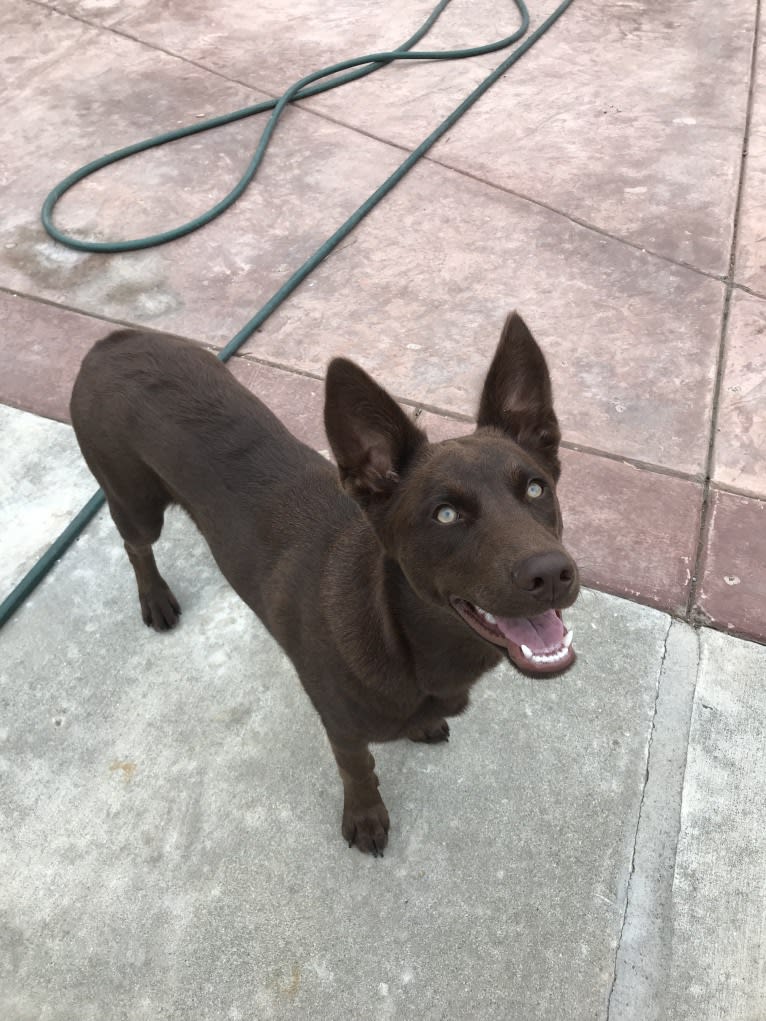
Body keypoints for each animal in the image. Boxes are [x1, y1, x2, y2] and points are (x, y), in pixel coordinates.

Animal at [70, 312, 580, 853]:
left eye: (536, 488)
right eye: (445, 514)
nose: (552, 574)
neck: (404, 635)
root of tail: (114, 339)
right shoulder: (340, 725)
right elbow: (357, 769)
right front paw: (365, 816)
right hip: (134, 501)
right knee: (136, 546)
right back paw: (155, 597)